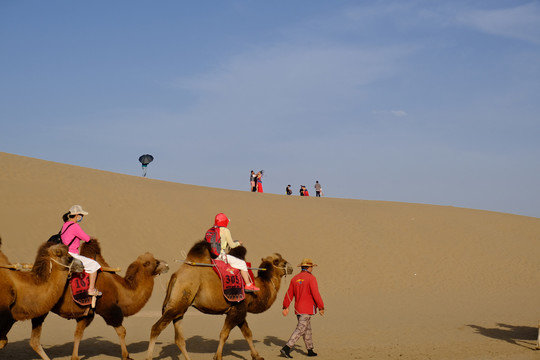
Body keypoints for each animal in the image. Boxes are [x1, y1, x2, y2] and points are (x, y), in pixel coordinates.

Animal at [30, 239, 169, 360]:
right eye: (156, 262)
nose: (167, 265)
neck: (120, 290)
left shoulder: (87, 314)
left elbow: (78, 334)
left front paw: (74, 357)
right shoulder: (108, 309)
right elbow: (122, 331)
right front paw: (126, 355)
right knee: (34, 340)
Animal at [146, 239, 294, 360]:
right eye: (278, 261)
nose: (291, 267)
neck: (260, 286)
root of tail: (176, 275)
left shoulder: (239, 309)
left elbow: (248, 334)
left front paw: (257, 356)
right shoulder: (238, 309)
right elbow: (224, 333)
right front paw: (217, 356)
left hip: (181, 306)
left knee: (179, 339)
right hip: (179, 301)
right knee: (156, 328)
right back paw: (149, 356)